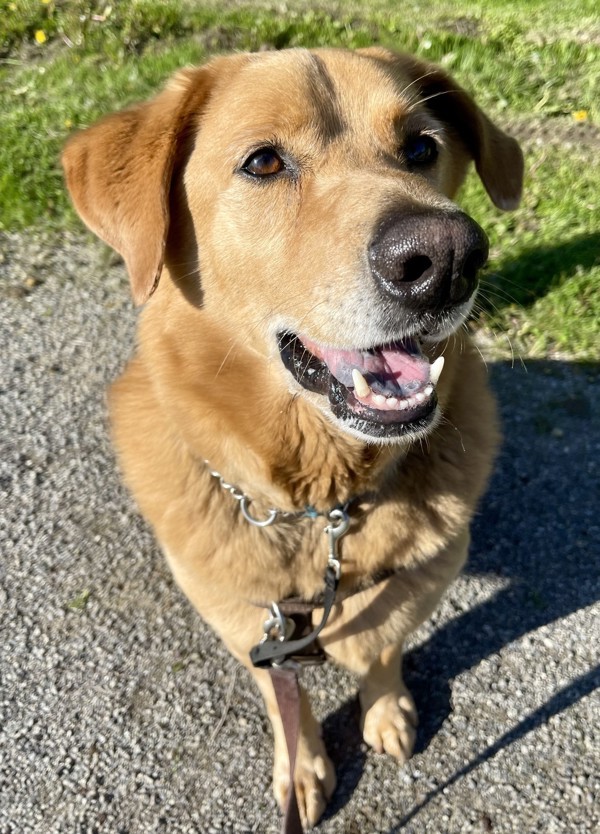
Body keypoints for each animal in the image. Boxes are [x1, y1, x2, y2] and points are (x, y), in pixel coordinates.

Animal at [63, 48, 524, 828]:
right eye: (264, 162)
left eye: (421, 149)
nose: (449, 258)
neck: (321, 504)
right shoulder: (244, 611)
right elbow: (285, 694)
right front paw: (303, 764)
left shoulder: (427, 570)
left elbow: (382, 644)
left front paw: (386, 708)